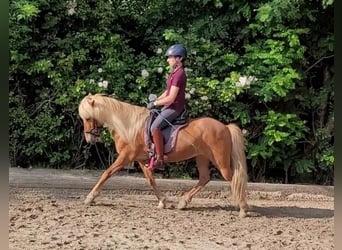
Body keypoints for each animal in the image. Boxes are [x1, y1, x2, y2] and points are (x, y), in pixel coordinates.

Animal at [77, 93, 248, 217]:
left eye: (88, 118)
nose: (89, 139)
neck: (128, 126)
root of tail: (225, 127)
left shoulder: (126, 156)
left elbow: (106, 173)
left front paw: (90, 197)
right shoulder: (140, 159)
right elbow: (150, 179)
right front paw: (163, 201)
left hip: (220, 160)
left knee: (232, 179)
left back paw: (243, 209)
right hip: (202, 157)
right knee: (205, 178)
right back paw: (183, 202)